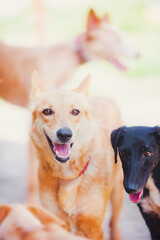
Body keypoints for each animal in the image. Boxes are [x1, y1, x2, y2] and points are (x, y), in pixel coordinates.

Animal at [29, 72, 122, 240]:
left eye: (75, 111)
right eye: (47, 111)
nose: (65, 134)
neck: (67, 176)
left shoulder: (93, 228)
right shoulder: (56, 222)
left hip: (118, 193)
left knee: (113, 223)